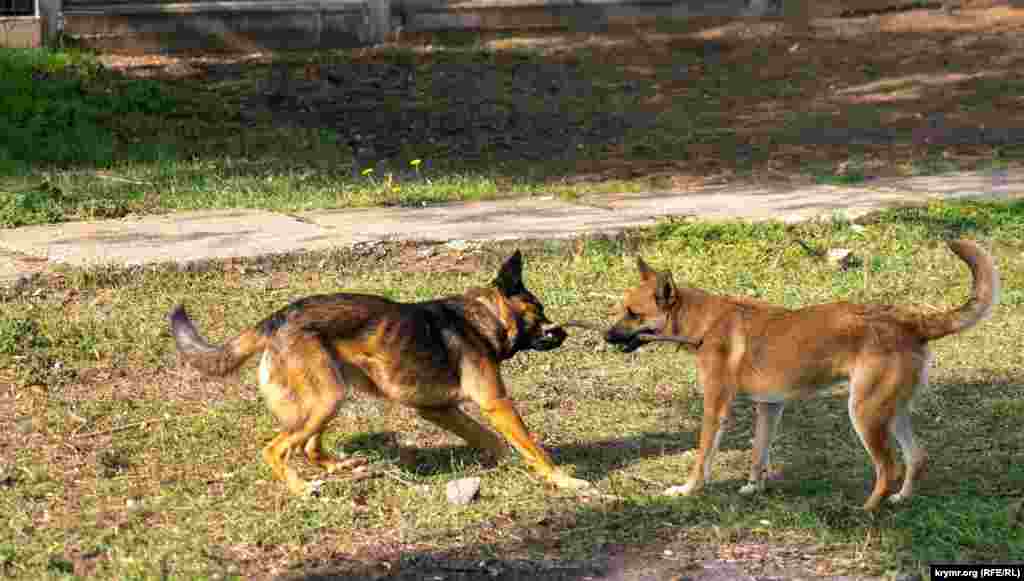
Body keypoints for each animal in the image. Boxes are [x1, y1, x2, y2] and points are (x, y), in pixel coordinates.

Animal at [166, 250, 585, 495]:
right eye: (539, 309)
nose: (565, 332)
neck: (484, 317)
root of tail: (277, 318)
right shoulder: (497, 403)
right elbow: (533, 447)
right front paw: (565, 480)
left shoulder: (439, 409)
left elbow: (490, 439)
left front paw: (504, 463)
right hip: (326, 398)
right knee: (277, 448)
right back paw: (302, 489)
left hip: (327, 397)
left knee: (308, 446)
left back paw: (340, 466)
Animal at [606, 239, 999, 508]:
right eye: (622, 309)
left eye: (633, 313)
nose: (605, 336)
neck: (704, 323)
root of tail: (909, 321)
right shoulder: (769, 407)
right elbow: (758, 454)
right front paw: (753, 488)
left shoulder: (715, 409)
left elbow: (703, 457)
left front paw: (687, 490)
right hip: (890, 412)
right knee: (916, 458)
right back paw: (900, 500)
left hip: (864, 415)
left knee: (888, 468)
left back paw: (866, 510)